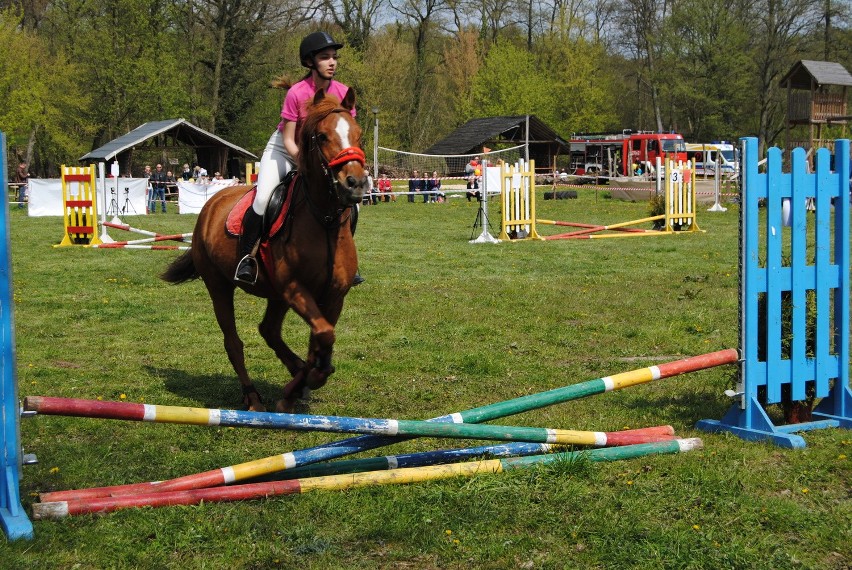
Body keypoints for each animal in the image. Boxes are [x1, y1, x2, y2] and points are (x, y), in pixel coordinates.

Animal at [161, 87, 368, 408]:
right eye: (322, 136)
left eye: (358, 135)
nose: (355, 184)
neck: (324, 222)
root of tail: (211, 203)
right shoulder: (294, 288)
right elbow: (323, 335)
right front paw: (308, 381)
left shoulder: (334, 295)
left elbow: (321, 338)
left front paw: (301, 383)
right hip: (219, 285)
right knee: (233, 342)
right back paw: (253, 396)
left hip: (275, 295)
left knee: (268, 330)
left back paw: (294, 373)